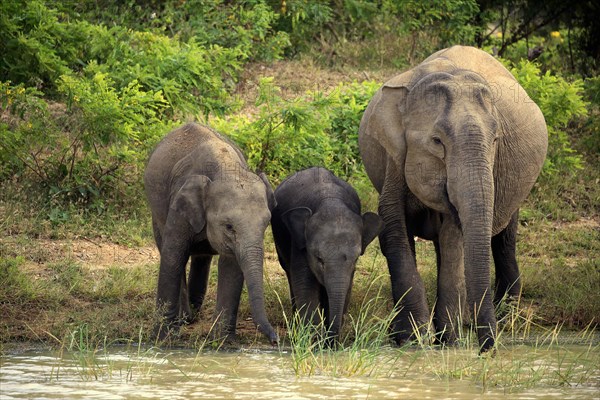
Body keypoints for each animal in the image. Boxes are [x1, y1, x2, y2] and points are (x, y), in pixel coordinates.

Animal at [144, 122, 278, 344]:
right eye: (229, 226)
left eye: (267, 223)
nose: (275, 339)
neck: (226, 168)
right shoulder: (179, 203)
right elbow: (173, 256)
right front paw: (162, 340)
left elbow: (231, 265)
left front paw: (225, 343)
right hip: (157, 213)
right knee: (170, 251)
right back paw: (185, 318)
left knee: (201, 256)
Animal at [270, 167, 382, 342]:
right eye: (319, 259)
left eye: (356, 259)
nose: (330, 340)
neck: (330, 201)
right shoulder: (300, 245)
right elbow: (305, 286)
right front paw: (313, 341)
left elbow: (346, 289)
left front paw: (329, 343)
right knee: (290, 276)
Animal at [356, 45, 548, 352]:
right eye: (437, 141)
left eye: (496, 140)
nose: (486, 351)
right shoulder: (394, 159)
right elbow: (393, 229)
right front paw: (412, 341)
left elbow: (453, 239)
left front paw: (448, 342)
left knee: (504, 241)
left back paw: (505, 319)